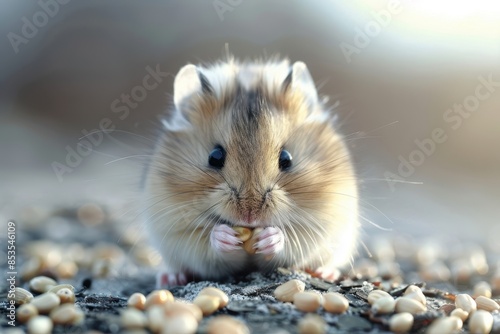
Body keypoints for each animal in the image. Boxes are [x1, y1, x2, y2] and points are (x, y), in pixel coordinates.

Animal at [143, 58, 358, 288]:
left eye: (287, 158)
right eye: (214, 157)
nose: (249, 217)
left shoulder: (318, 227)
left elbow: (290, 239)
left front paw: (270, 238)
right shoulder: (177, 231)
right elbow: (208, 242)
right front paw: (224, 236)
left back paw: (327, 273)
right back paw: (170, 278)